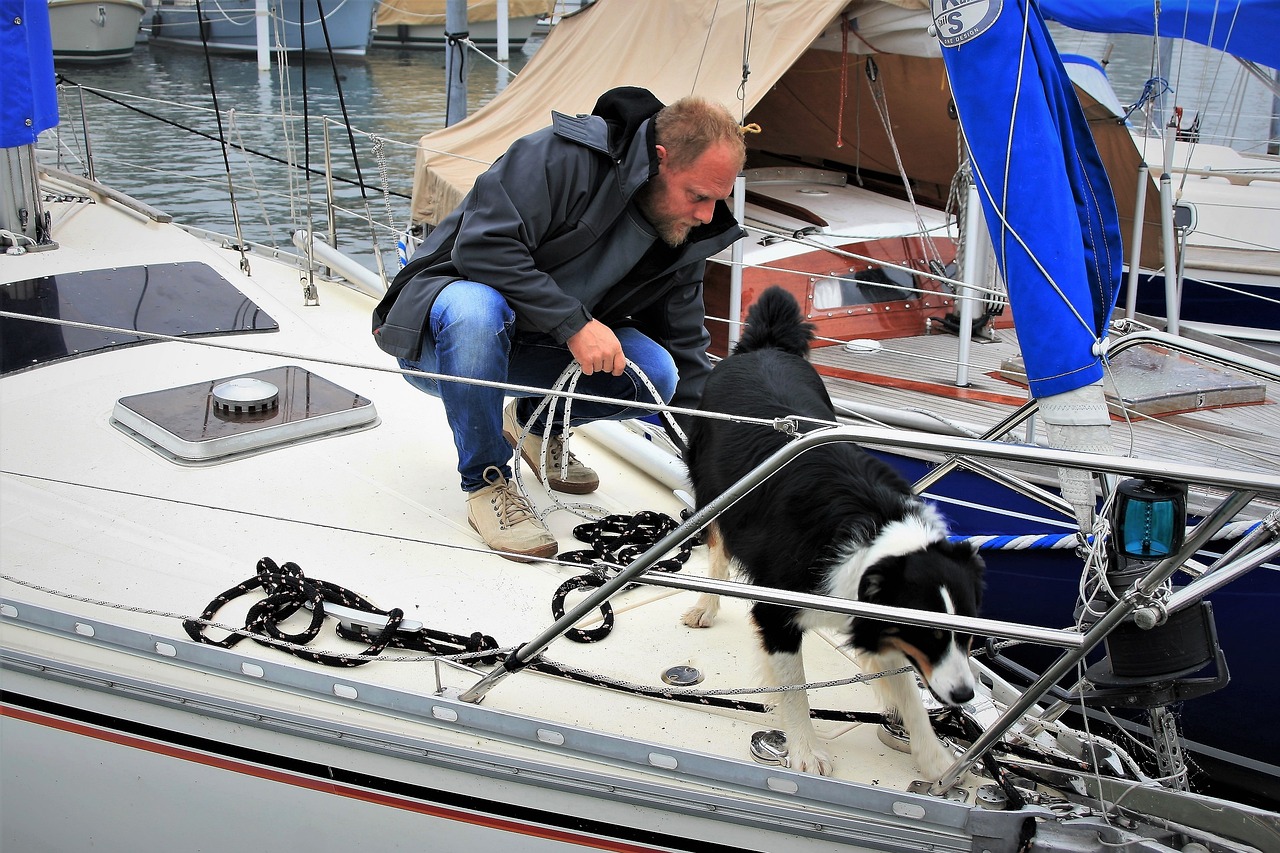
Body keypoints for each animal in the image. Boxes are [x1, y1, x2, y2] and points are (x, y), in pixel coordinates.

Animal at [686, 285, 983, 778]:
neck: (876, 536)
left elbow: (908, 693)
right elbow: (795, 688)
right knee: (718, 546)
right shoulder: (778, 610)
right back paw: (705, 607)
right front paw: (806, 751)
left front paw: (935, 760)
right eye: (930, 635)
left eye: (968, 633)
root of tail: (765, 344)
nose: (964, 696)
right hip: (714, 489)